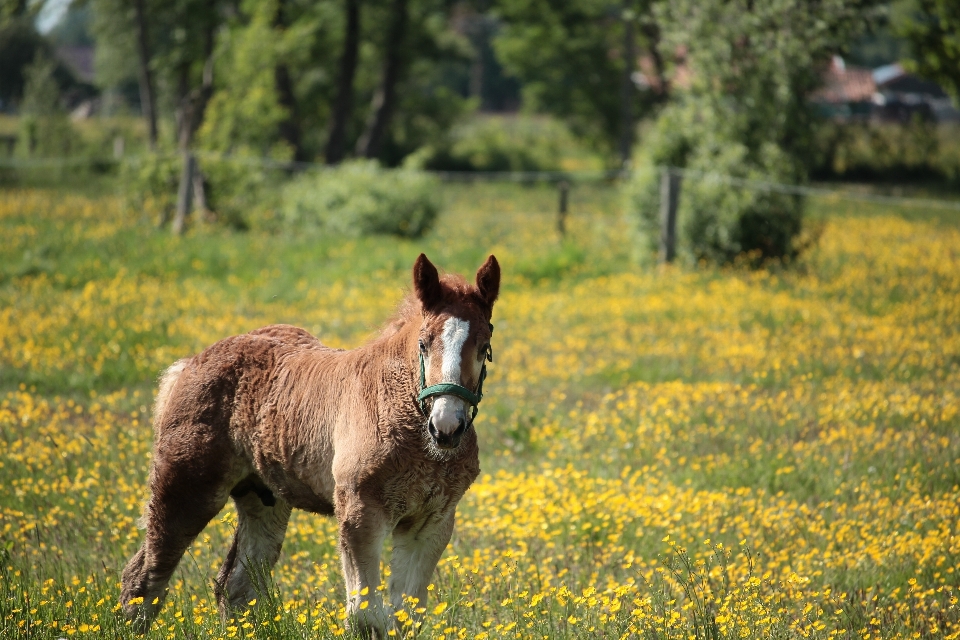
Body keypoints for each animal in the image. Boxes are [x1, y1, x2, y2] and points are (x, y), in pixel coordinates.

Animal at [122, 254, 502, 636]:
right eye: (423, 344)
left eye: (484, 348)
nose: (446, 427)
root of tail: (191, 362)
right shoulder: (360, 513)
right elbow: (365, 615)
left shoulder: (433, 522)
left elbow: (406, 617)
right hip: (187, 486)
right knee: (143, 578)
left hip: (264, 498)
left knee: (236, 586)